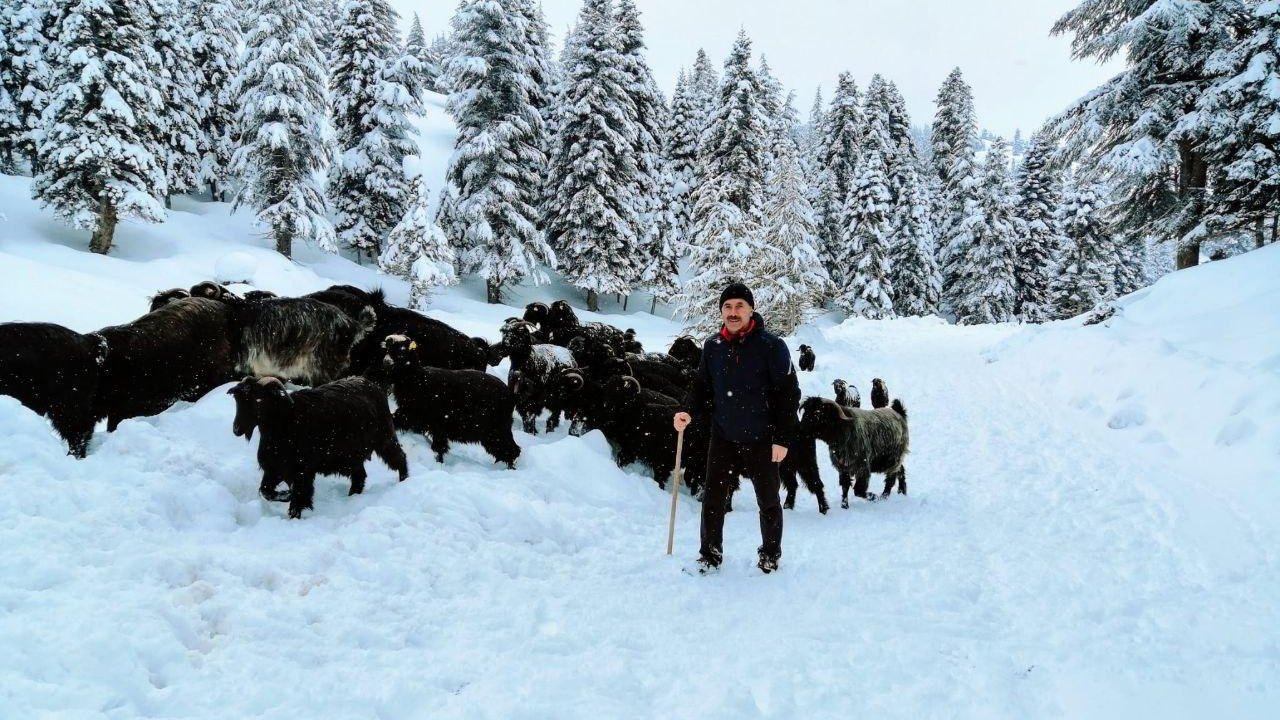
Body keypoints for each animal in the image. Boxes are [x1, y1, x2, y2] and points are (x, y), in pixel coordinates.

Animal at [229, 376, 404, 515]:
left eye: (258, 400)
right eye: (238, 400)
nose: (236, 429)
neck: (286, 421)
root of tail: (372, 385)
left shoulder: (301, 471)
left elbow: (299, 497)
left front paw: (293, 513)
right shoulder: (275, 469)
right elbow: (265, 491)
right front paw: (285, 494)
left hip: (384, 438)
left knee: (399, 457)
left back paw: (404, 480)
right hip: (350, 457)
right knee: (360, 475)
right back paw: (353, 496)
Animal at [378, 333, 519, 466]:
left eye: (402, 351)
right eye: (388, 349)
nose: (386, 362)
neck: (415, 378)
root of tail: (510, 394)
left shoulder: (422, 417)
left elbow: (438, 447)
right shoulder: (417, 419)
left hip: (497, 429)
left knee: (512, 450)